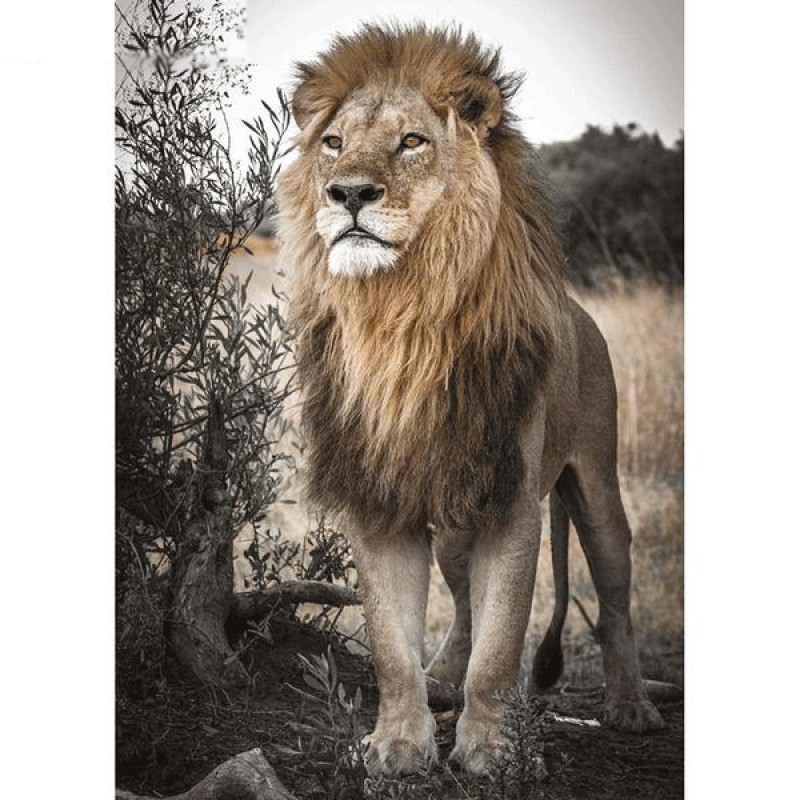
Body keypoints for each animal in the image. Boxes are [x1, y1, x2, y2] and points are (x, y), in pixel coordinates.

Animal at [277, 24, 665, 777]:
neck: (401, 315)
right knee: (459, 608)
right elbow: (393, 646)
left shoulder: (511, 507)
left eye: (412, 142)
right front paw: (398, 743)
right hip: (458, 521)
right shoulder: (381, 499)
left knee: (614, 601)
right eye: (333, 142)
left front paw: (490, 748)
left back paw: (631, 705)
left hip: (596, 490)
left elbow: (502, 643)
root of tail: (581, 312)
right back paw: (440, 679)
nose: (347, 193)